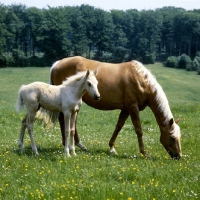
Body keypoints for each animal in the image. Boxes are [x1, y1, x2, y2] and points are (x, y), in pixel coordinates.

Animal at [49, 56, 181, 159]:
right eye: (172, 138)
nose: (179, 156)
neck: (141, 80)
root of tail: (57, 64)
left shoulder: (126, 109)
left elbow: (118, 127)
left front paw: (112, 147)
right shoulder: (133, 108)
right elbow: (138, 130)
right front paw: (144, 152)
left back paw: (77, 145)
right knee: (64, 120)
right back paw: (68, 144)